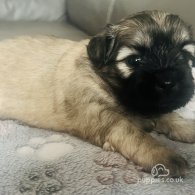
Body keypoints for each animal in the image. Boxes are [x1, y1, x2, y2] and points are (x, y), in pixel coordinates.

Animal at [0, 11, 195, 178]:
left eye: (185, 56)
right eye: (134, 61)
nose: (168, 81)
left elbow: (169, 115)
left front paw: (186, 127)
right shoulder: (99, 114)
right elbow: (134, 133)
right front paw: (161, 154)